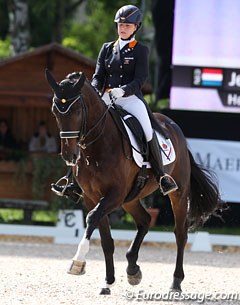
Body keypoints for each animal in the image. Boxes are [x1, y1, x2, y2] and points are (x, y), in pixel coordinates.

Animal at [45, 69, 221, 294]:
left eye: (76, 110)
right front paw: (108, 282)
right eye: (55, 112)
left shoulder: (114, 195)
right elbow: (106, 240)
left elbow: (92, 219)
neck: (97, 147)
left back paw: (175, 282)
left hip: (178, 193)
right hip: (131, 198)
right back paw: (132, 269)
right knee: (145, 220)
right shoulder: (93, 197)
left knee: (180, 233)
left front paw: (78, 262)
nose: (69, 155)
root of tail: (173, 126)